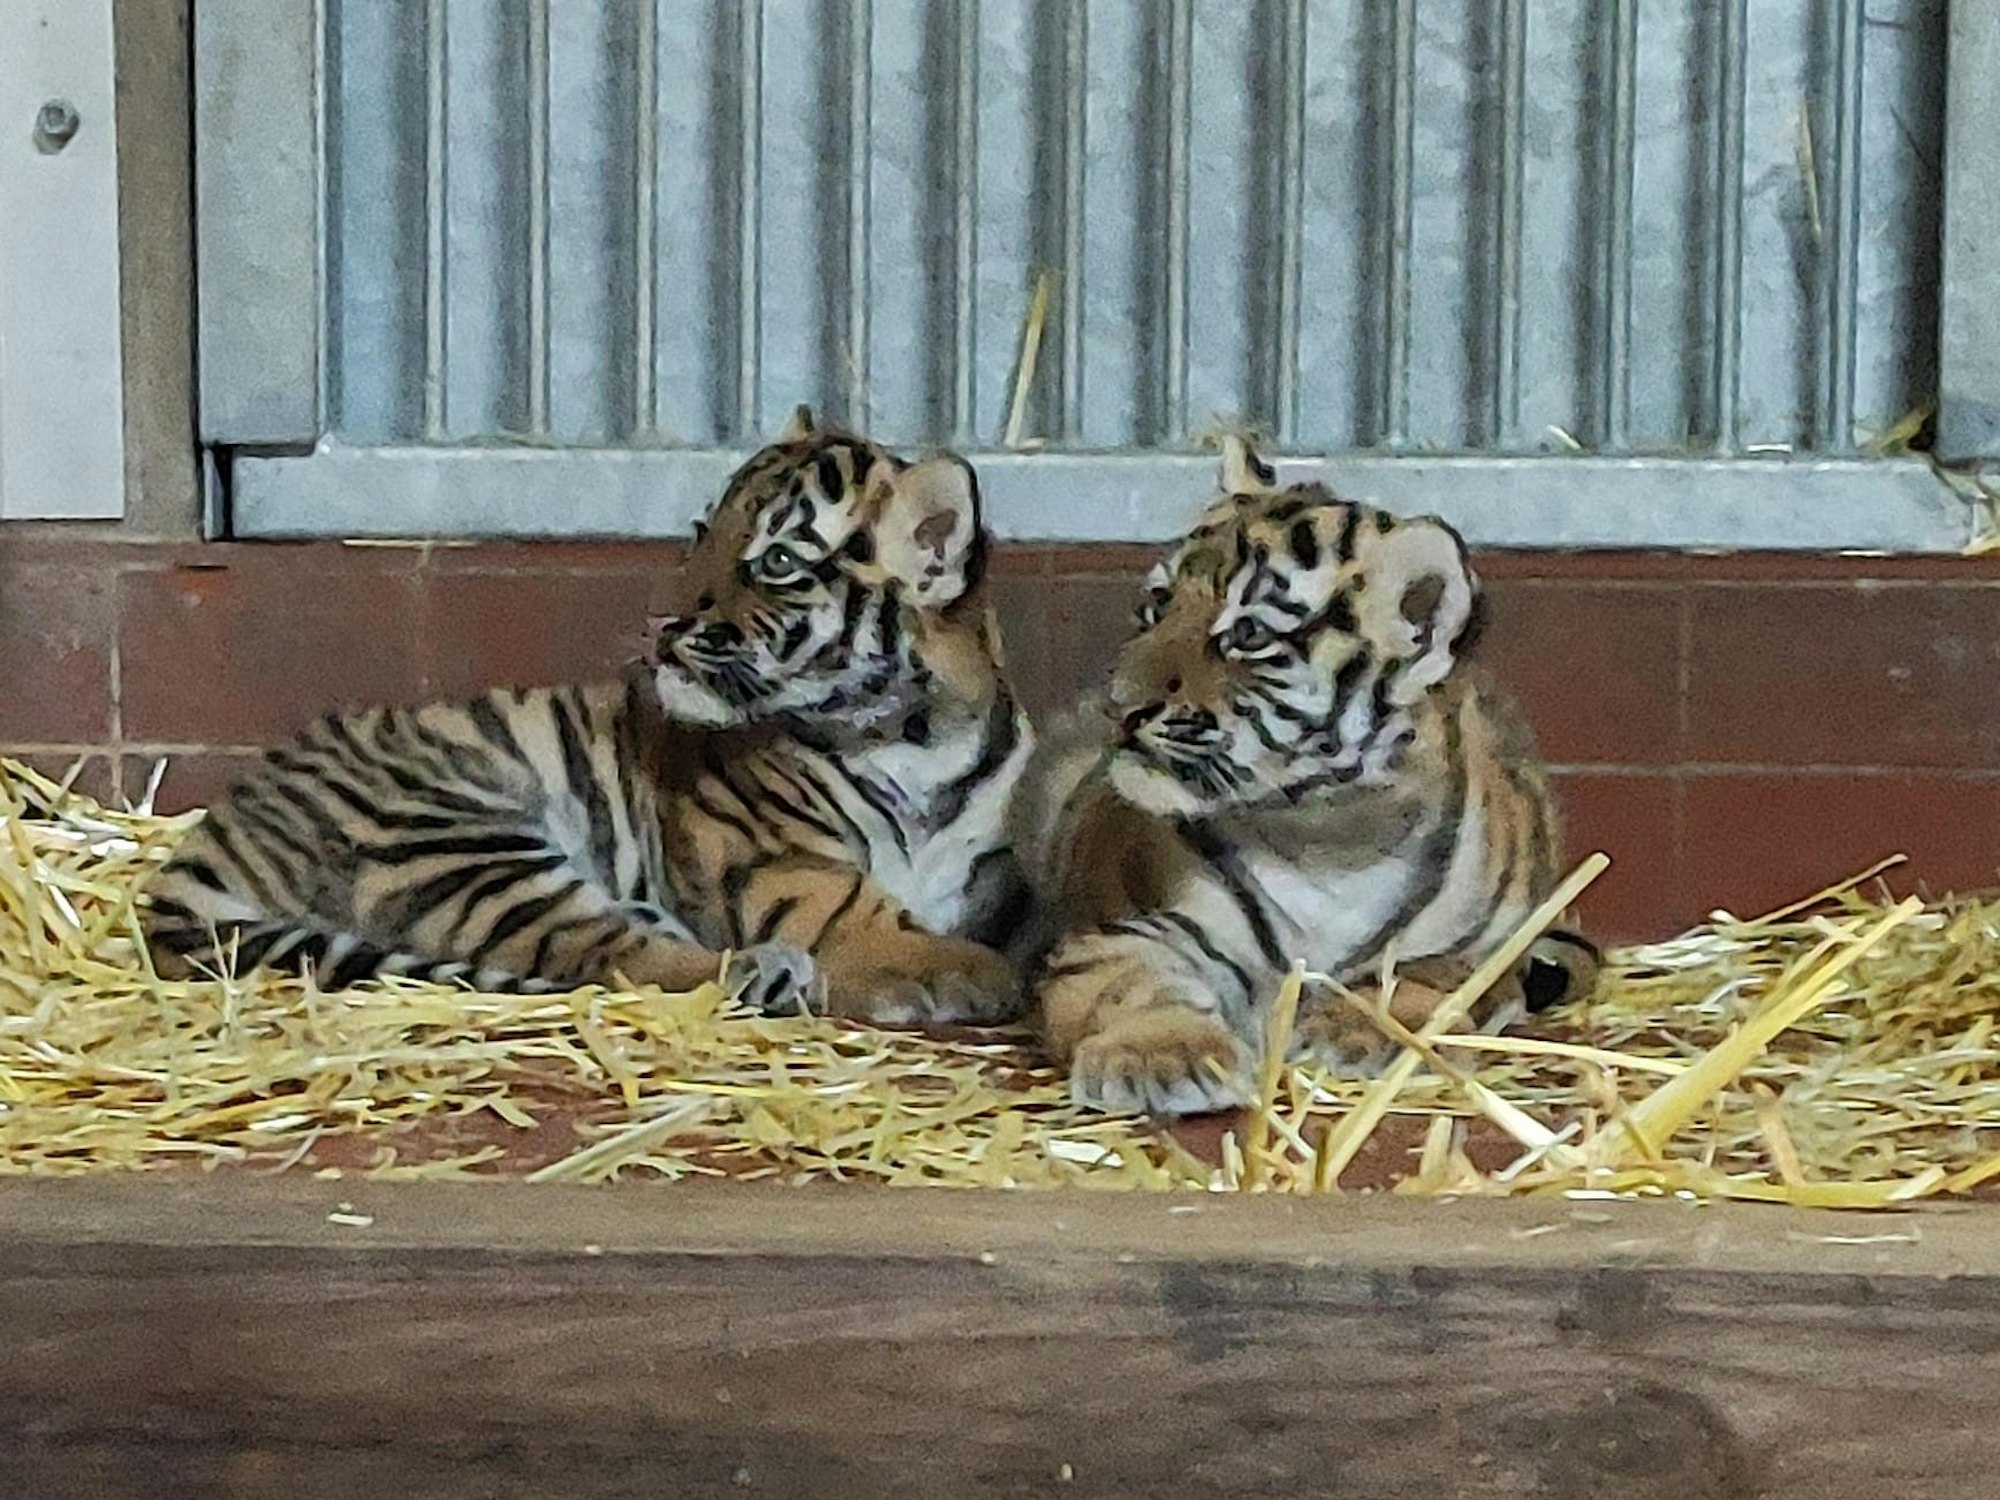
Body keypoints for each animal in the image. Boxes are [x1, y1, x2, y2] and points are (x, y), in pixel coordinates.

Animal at [141, 408, 1034, 1024]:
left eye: (777, 561)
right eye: (703, 532)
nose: (663, 625)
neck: (913, 739)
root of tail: (224, 822)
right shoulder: (779, 859)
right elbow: (864, 909)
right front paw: (963, 970)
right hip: (457, 841)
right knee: (610, 952)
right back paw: (762, 971)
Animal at [1012, 437, 1598, 1116]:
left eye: (1247, 634)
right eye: (1158, 606)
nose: (1119, 705)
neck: (1327, 838)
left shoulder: (1483, 953)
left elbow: (1423, 976)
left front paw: (1364, 1031)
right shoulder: (1108, 936)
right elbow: (1133, 986)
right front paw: (1156, 1056)